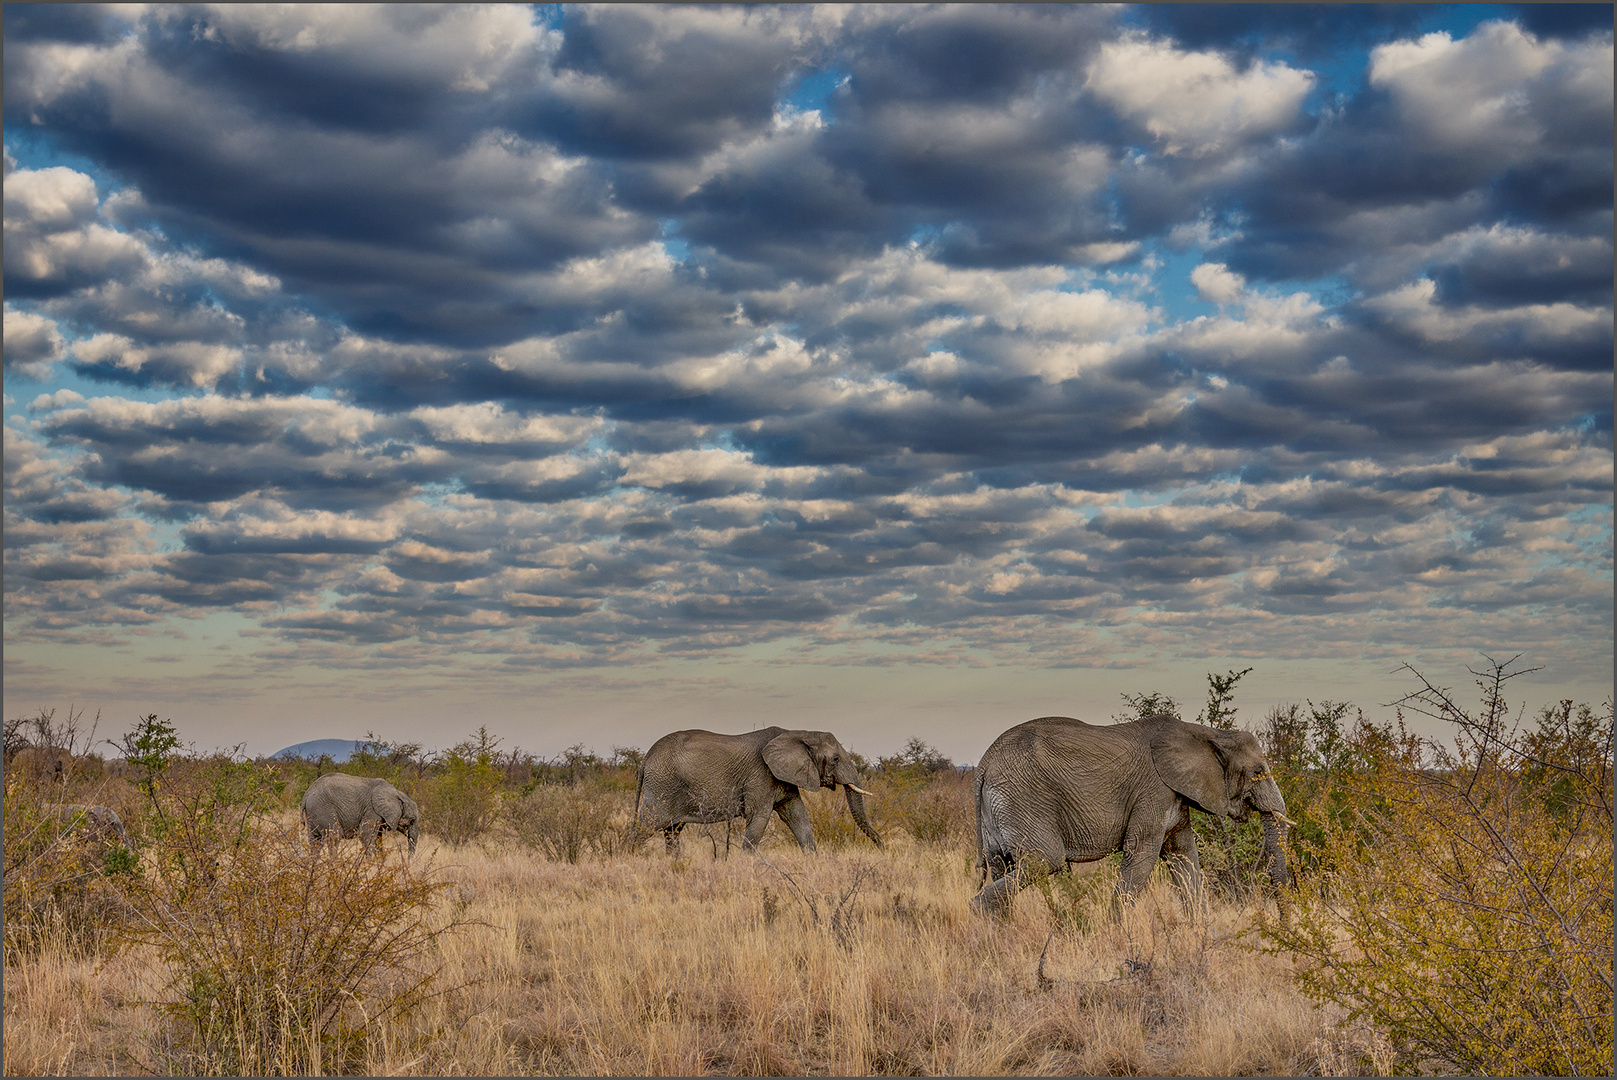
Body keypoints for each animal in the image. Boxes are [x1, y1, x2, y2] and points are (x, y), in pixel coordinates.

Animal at [633, 730, 886, 853]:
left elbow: (799, 818)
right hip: (662, 786)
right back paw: (628, 854)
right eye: (835, 759)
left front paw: (813, 860)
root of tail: (645, 760)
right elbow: (758, 820)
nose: (883, 850)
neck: (800, 733)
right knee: (646, 825)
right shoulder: (761, 776)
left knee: (671, 831)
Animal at [963, 711, 1293, 918]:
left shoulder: (1173, 795)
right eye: (1258, 772)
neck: (1206, 733)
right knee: (1045, 860)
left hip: (1001, 808)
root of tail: (982, 766)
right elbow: (1143, 854)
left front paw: (1203, 937)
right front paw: (1117, 935)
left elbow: (1183, 856)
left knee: (1001, 866)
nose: (1281, 923)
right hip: (1022, 797)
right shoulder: (1154, 791)